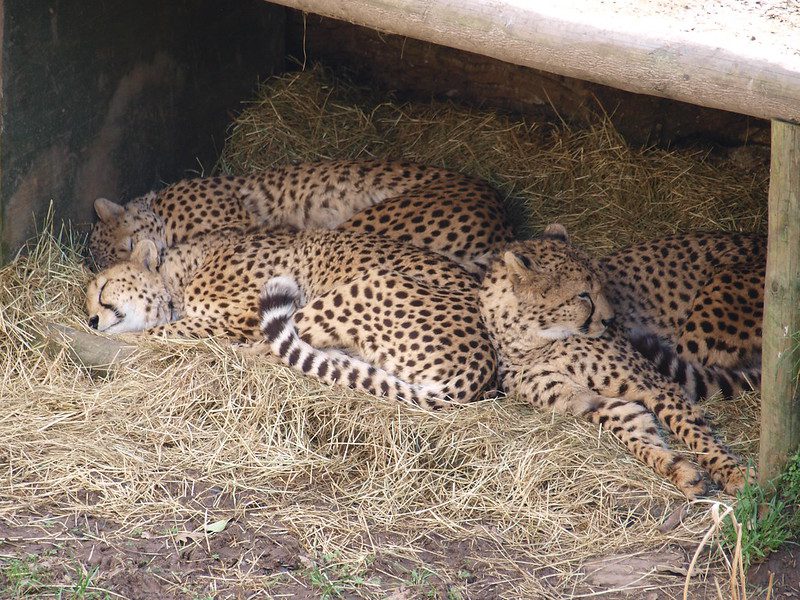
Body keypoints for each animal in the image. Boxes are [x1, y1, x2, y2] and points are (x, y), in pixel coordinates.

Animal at [89, 230, 500, 408]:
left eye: (103, 288)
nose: (91, 321)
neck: (178, 272)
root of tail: (483, 363)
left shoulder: (242, 313)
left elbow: (166, 332)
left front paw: (131, 340)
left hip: (364, 285)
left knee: (266, 353)